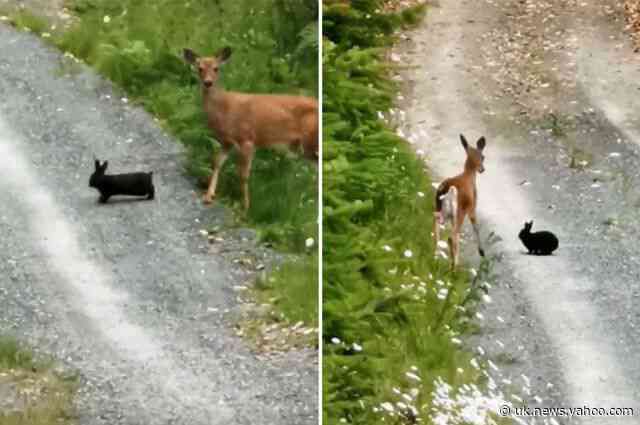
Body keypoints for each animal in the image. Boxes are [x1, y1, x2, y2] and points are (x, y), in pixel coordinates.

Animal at [183, 46, 318, 211]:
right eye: (199, 68)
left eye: (216, 68)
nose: (208, 82)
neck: (225, 109)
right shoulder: (226, 141)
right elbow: (217, 162)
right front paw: (209, 195)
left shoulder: (247, 139)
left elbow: (244, 174)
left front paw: (246, 206)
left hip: (311, 141)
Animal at [433, 134, 486, 269]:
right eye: (483, 157)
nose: (482, 169)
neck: (468, 176)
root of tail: (448, 190)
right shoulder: (472, 207)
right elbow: (476, 227)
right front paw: (481, 251)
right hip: (459, 212)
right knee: (451, 236)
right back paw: (454, 267)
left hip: (440, 208)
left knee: (437, 228)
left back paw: (437, 256)